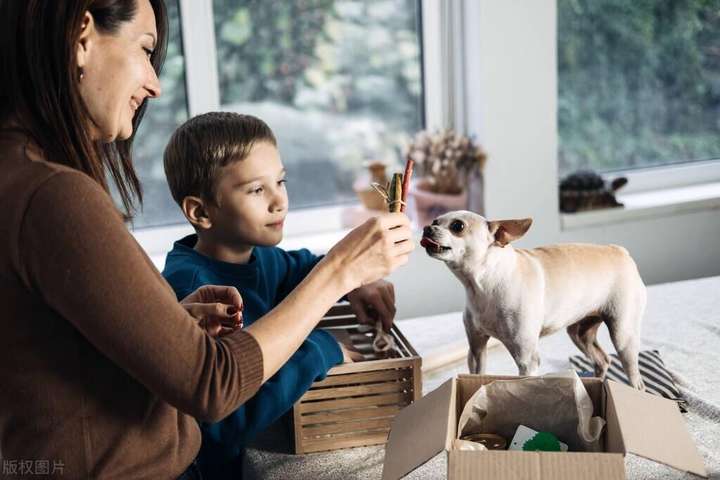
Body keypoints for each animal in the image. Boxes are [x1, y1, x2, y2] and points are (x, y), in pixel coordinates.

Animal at [422, 211, 648, 390]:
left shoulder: (526, 358)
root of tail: (619, 251)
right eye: (435, 221)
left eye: (457, 226)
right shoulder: (477, 349)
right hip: (580, 333)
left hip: (623, 336)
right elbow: (478, 374)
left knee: (633, 374)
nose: (427, 228)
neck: (483, 285)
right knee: (602, 360)